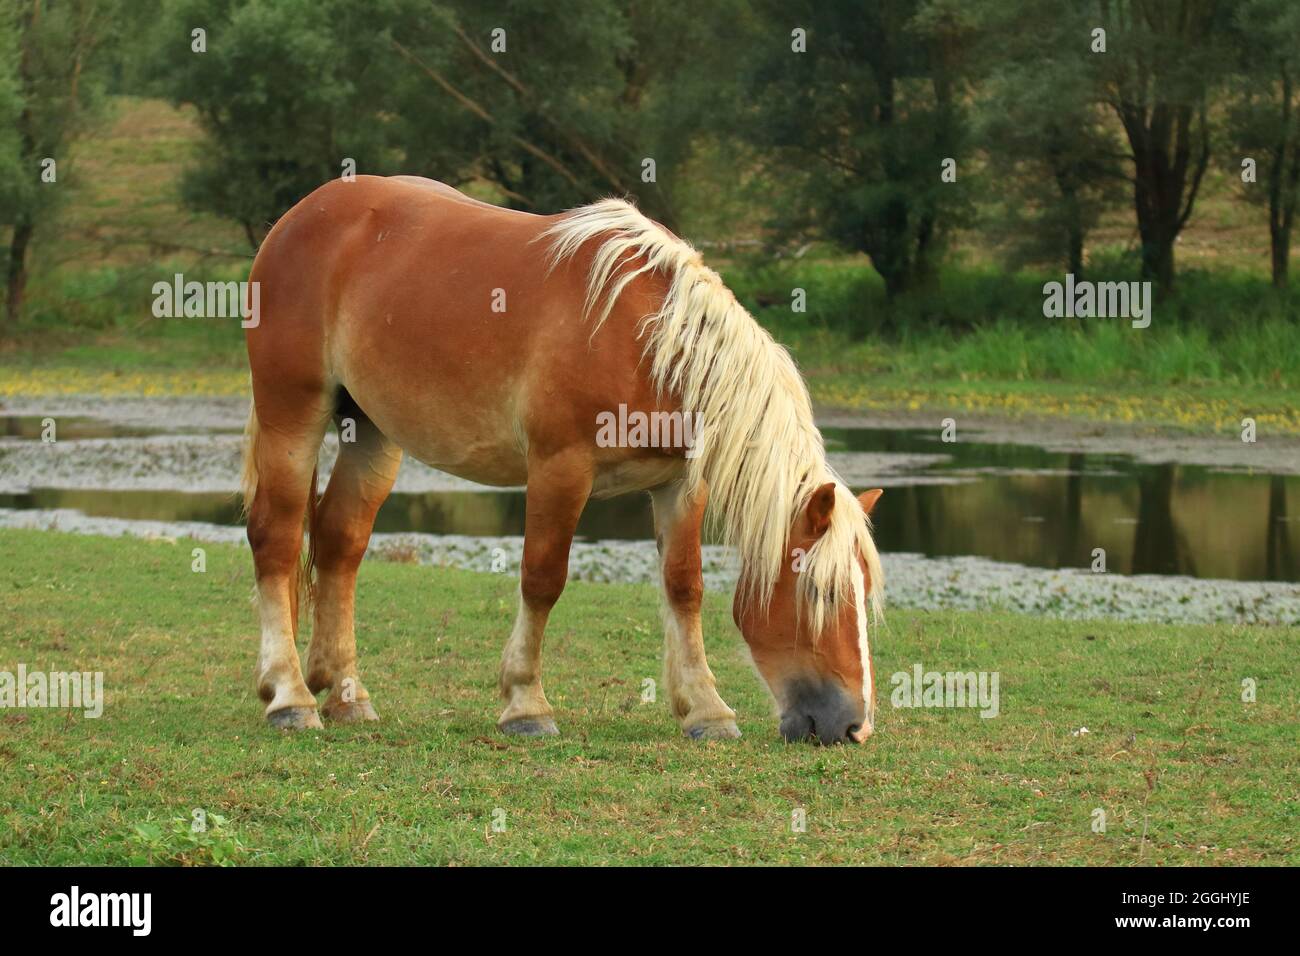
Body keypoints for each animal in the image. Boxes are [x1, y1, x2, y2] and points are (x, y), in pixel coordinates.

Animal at [240, 175, 884, 745]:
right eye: (822, 593)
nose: (854, 727)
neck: (647, 339)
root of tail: (300, 216)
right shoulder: (560, 469)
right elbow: (543, 577)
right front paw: (526, 704)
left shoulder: (681, 484)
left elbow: (685, 587)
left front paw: (706, 710)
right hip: (292, 414)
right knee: (276, 538)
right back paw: (290, 697)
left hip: (372, 432)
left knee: (340, 541)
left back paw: (347, 695)